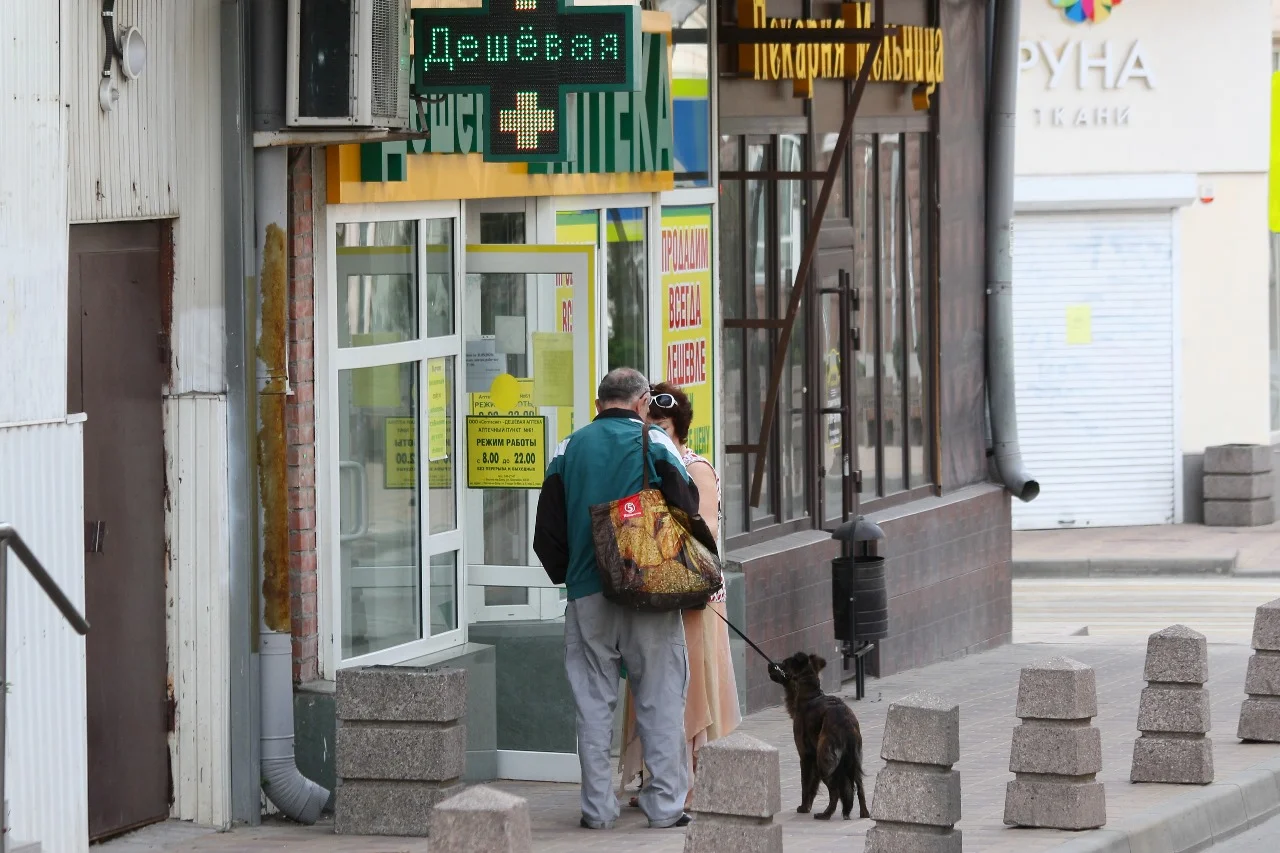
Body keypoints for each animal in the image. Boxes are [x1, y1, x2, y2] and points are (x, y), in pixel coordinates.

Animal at [768, 650, 870, 819]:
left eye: (784, 663)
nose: (770, 665)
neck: (810, 694)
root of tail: (845, 722)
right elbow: (813, 786)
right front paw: (807, 806)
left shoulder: (805, 755)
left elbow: (805, 785)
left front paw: (804, 807)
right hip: (855, 760)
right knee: (860, 787)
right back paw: (864, 813)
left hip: (824, 760)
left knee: (835, 790)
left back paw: (826, 814)